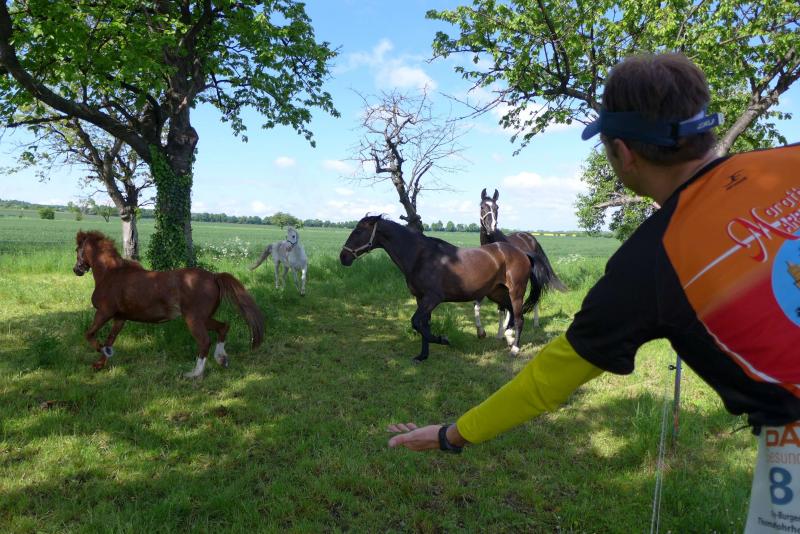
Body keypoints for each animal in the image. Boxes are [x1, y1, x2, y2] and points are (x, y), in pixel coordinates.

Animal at [73, 230, 265, 378]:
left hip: (193, 319)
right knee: (223, 327)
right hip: (204, 318)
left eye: (77, 249)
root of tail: (214, 277)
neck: (110, 274)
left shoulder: (104, 312)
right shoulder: (120, 318)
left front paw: (102, 352)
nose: (76, 270)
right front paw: (100, 364)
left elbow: (89, 335)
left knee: (204, 341)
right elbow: (110, 339)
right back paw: (221, 359)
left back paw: (195, 374)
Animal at [340, 215, 549, 362]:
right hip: (497, 292)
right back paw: (508, 337)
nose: (343, 257)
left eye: (358, 231)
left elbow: (416, 322)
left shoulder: (432, 298)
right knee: (510, 314)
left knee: (519, 318)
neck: (421, 256)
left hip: (516, 292)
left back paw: (515, 348)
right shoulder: (420, 298)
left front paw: (443, 340)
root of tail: (523, 253)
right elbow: (423, 324)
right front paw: (422, 356)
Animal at [475, 188, 567, 340]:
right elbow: (480, 305)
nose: (491, 227)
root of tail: (530, 237)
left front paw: (504, 331)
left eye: (497, 207)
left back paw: (534, 323)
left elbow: (503, 308)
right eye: (482, 207)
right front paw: (489, 332)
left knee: (534, 295)